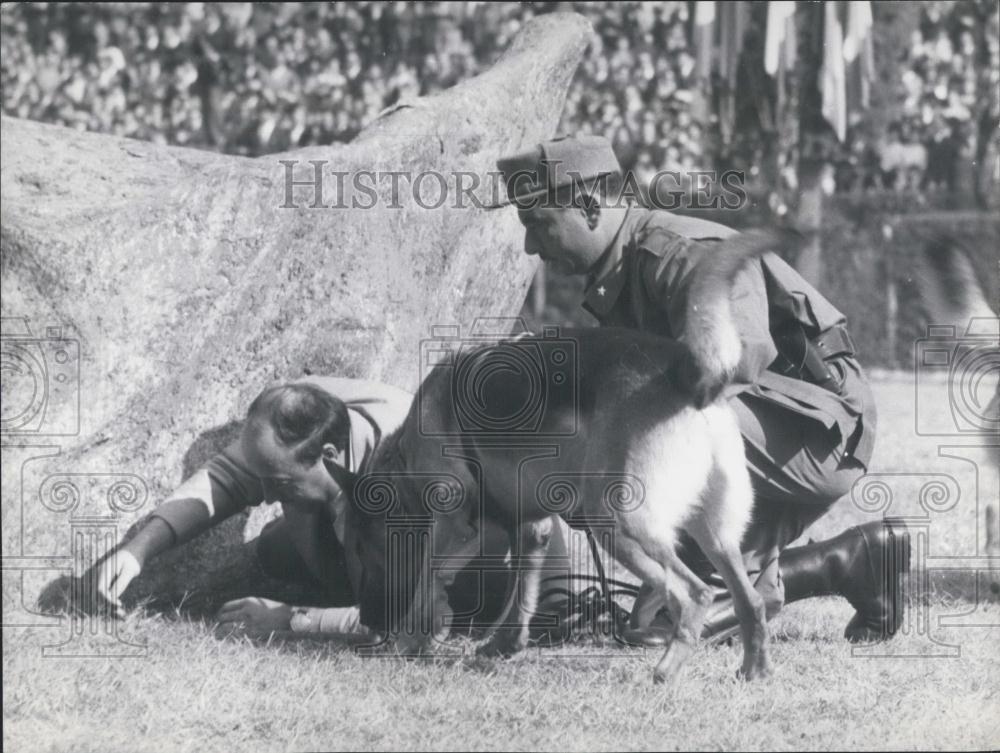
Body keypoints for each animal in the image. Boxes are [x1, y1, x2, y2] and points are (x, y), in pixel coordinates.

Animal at [344, 229, 788, 680]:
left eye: (364, 549)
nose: (366, 622)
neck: (402, 458)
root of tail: (688, 377)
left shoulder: (455, 524)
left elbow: (429, 580)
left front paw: (412, 638)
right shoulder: (529, 528)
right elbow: (520, 594)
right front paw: (503, 645)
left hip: (617, 524)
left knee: (692, 592)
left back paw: (665, 670)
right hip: (715, 534)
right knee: (750, 601)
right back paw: (755, 670)